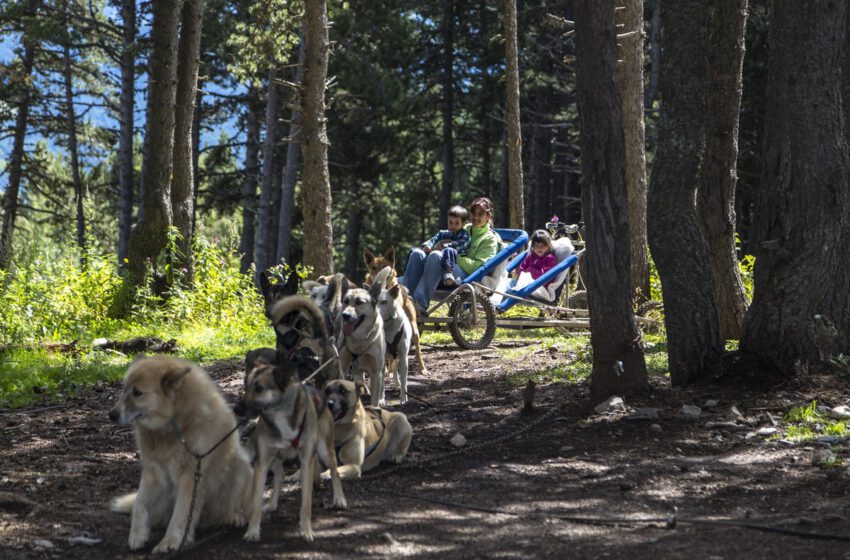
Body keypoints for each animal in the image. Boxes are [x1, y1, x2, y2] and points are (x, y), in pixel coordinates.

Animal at [107, 356, 252, 552]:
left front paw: (170, 542)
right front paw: (138, 534)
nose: (111, 415)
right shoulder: (153, 470)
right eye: (123, 390)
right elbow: (140, 502)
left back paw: (234, 515)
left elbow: (181, 513)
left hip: (241, 466)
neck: (171, 425)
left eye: (137, 392)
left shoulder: (190, 475)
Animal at [232, 358, 344, 544]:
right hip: (271, 457)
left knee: (335, 472)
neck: (280, 413)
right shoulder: (262, 463)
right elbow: (255, 502)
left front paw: (306, 530)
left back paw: (340, 499)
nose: (236, 409)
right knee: (280, 474)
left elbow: (306, 504)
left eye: (259, 388)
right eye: (246, 386)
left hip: (325, 450)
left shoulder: (306, 462)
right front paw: (253, 530)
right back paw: (272, 503)